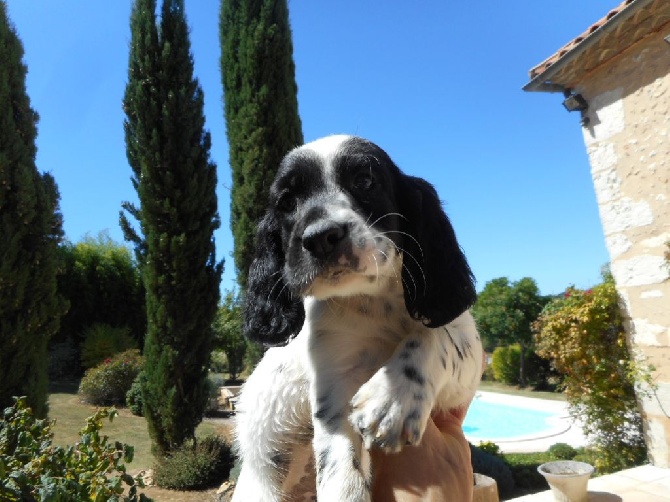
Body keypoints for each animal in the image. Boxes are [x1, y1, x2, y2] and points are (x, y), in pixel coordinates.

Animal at [234, 134, 486, 502]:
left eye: (365, 181)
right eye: (287, 201)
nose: (321, 238)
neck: (373, 300)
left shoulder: (464, 360)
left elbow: (432, 335)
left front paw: (391, 400)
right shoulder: (334, 381)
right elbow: (341, 469)